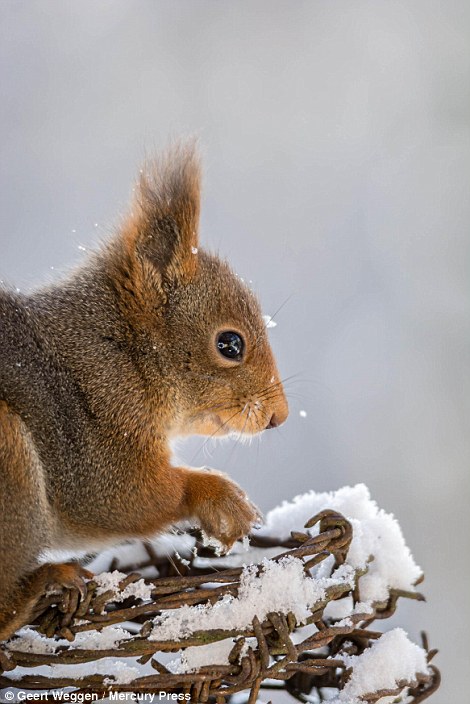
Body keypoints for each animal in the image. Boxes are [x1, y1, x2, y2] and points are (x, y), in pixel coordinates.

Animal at [0, 146, 288, 640]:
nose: (279, 416)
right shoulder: (86, 439)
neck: (124, 353)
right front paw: (223, 498)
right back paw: (42, 585)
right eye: (230, 344)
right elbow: (122, 499)